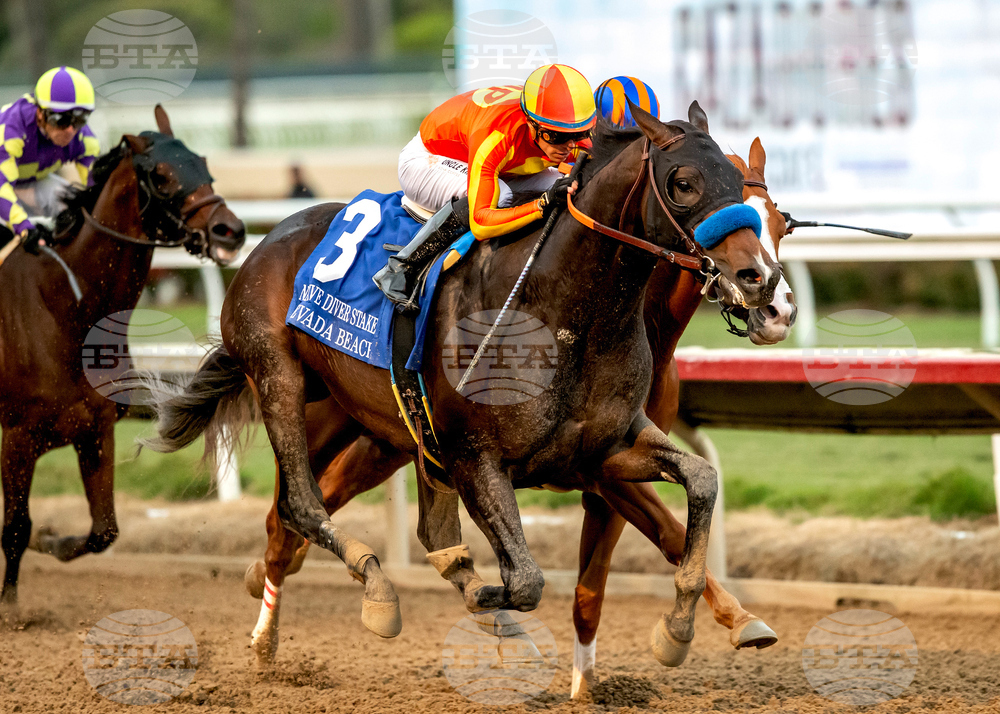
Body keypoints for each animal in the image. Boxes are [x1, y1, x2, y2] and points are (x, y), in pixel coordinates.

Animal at [0, 106, 245, 606]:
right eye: (163, 176)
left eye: (204, 163)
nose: (229, 230)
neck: (67, 310)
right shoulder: (18, 436)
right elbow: (14, 528)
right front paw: (11, 608)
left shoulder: (95, 431)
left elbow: (103, 532)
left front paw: (51, 540)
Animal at [142, 103, 780, 670]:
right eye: (684, 183)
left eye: (747, 188)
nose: (760, 280)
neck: (565, 314)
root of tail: (270, 237)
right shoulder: (477, 455)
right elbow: (524, 580)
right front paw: (489, 601)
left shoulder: (603, 450)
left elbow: (700, 482)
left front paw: (679, 630)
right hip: (282, 380)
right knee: (299, 506)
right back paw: (356, 599)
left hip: (392, 430)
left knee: (388, 526)